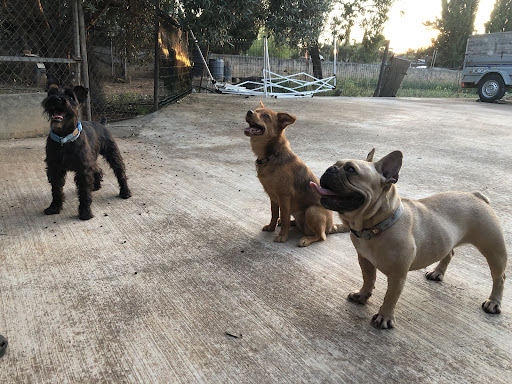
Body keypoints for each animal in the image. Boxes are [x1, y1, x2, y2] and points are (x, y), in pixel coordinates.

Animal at [42, 85, 131, 220]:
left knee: (120, 172)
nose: (57, 99)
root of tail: (101, 123)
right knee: (97, 168)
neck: (64, 138)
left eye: (71, 96)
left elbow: (84, 192)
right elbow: (56, 189)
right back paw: (96, 185)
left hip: (113, 155)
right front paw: (54, 207)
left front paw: (85, 212)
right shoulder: (55, 168)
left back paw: (125, 192)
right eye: (51, 92)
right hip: (92, 159)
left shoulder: (83, 169)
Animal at [244, 102, 348, 246]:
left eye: (266, 116)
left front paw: (282, 236)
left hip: (312, 211)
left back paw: (306, 239)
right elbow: (274, 214)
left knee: (321, 236)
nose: (249, 111)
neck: (271, 155)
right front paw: (271, 227)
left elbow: (283, 216)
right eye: (256, 110)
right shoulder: (273, 197)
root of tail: (332, 226)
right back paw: (291, 223)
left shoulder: (284, 196)